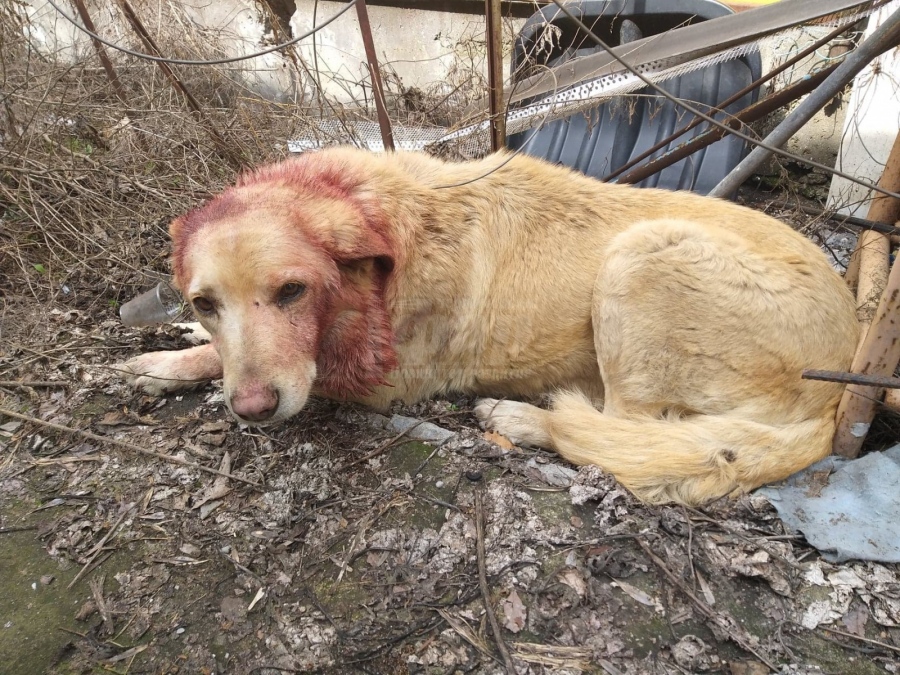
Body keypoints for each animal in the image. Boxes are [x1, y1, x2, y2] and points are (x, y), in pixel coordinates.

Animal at [119, 149, 856, 508]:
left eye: (291, 290)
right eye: (205, 302)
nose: (252, 410)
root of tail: (840, 390)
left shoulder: (384, 382)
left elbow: (300, 370)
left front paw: (174, 368)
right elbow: (218, 353)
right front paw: (178, 350)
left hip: (640, 255)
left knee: (623, 433)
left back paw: (520, 417)